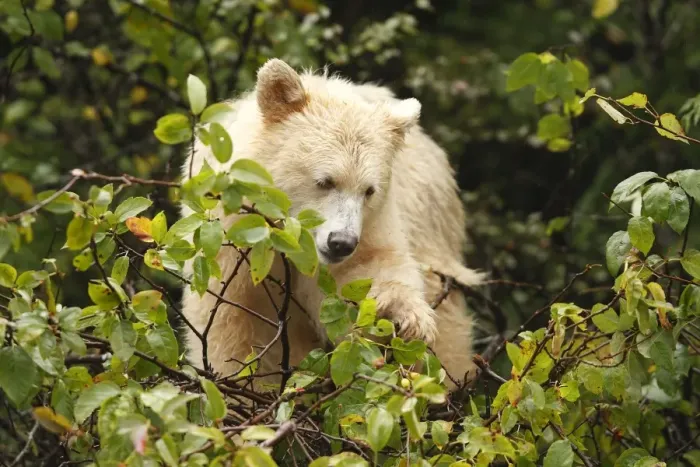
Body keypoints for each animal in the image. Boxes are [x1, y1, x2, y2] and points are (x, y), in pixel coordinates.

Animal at [179, 58, 482, 388]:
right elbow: (240, 324)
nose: (340, 243)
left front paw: (402, 316)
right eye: (325, 181)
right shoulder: (233, 246)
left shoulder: (374, 223)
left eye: (369, 190)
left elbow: (363, 272)